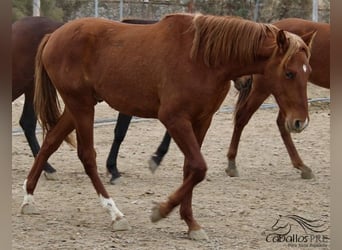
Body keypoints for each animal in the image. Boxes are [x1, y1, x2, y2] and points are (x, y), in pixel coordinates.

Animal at [20, 13, 316, 240]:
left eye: (308, 72)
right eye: (289, 73)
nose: (299, 122)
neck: (203, 59)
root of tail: (54, 36)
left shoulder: (201, 120)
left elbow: (190, 169)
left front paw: (191, 223)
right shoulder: (174, 119)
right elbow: (199, 167)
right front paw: (161, 211)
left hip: (78, 106)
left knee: (50, 142)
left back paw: (28, 198)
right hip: (82, 106)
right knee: (87, 156)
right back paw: (115, 214)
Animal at [226, 17, 330, 180]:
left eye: (308, 72)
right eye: (288, 73)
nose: (302, 122)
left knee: (281, 123)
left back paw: (301, 165)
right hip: (263, 91)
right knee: (243, 116)